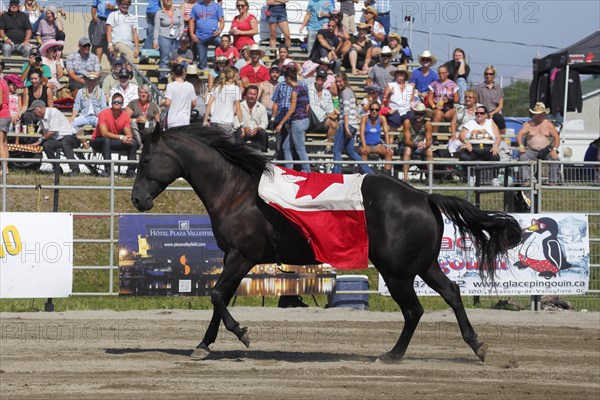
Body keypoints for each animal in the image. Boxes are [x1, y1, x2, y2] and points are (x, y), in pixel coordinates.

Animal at [130, 126, 520, 362]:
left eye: (145, 160)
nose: (136, 199)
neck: (237, 190)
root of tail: (423, 197)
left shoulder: (243, 256)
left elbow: (215, 296)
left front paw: (241, 334)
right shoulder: (232, 258)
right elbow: (219, 298)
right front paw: (203, 346)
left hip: (397, 272)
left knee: (414, 310)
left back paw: (391, 355)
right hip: (422, 265)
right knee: (451, 293)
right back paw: (476, 345)